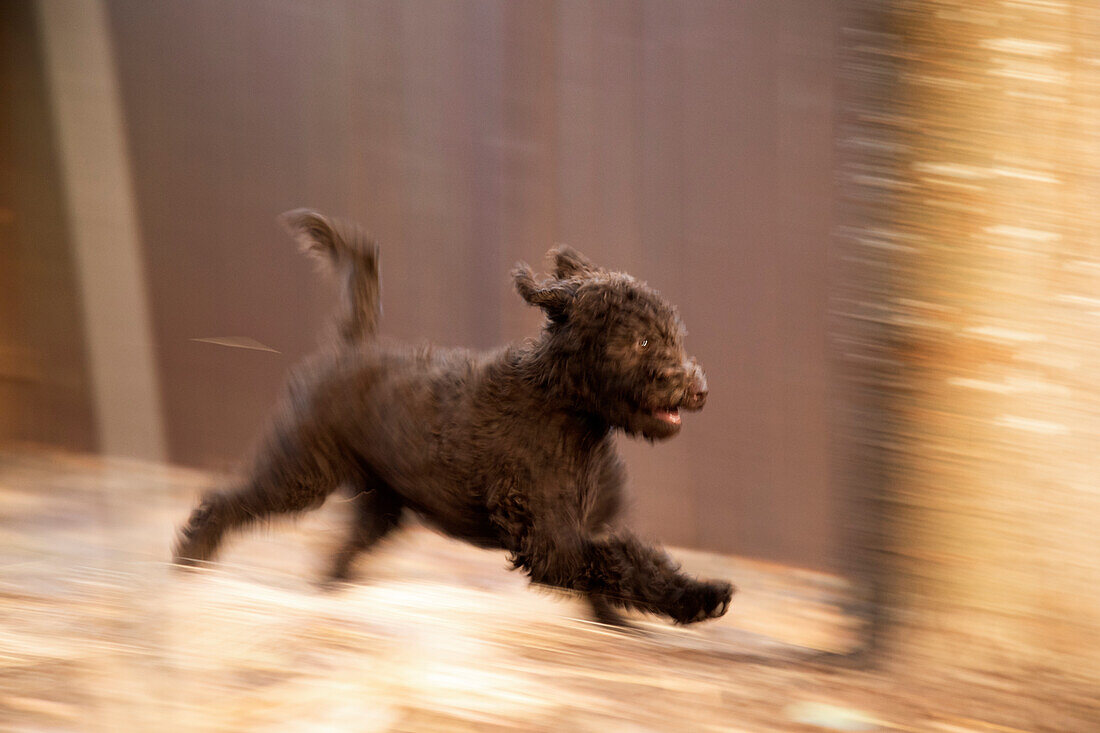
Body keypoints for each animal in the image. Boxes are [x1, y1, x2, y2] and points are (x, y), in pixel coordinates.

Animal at [173, 210, 730, 620]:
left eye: (674, 335)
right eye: (642, 342)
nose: (700, 390)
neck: (571, 414)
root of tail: (351, 345)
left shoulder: (586, 530)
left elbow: (620, 569)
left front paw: (625, 625)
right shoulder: (553, 542)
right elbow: (627, 564)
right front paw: (700, 597)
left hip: (380, 500)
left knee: (340, 550)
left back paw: (329, 595)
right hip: (302, 470)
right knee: (227, 501)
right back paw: (190, 559)